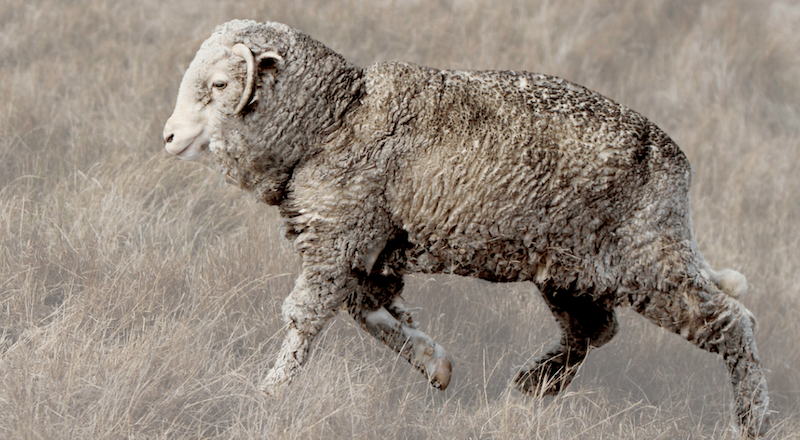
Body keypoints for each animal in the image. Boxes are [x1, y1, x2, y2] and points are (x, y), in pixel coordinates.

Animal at [162, 19, 770, 437]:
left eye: (221, 84)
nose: (169, 136)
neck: (335, 117)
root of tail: (677, 167)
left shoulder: (339, 238)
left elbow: (306, 320)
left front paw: (270, 393)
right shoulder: (367, 245)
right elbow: (370, 311)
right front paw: (434, 364)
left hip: (649, 260)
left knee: (733, 324)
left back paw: (752, 420)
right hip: (570, 267)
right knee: (595, 329)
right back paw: (537, 383)